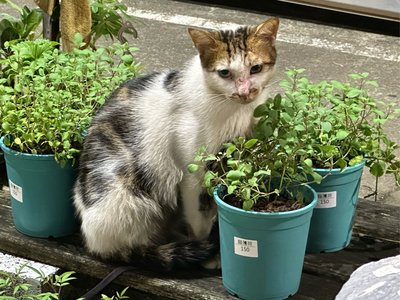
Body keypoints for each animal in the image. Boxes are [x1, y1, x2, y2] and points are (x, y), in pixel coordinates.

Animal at [73, 16, 280, 270]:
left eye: (256, 68)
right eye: (224, 73)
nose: (244, 91)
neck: (233, 111)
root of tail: (92, 242)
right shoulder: (193, 175)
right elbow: (200, 219)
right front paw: (209, 256)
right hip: (130, 198)